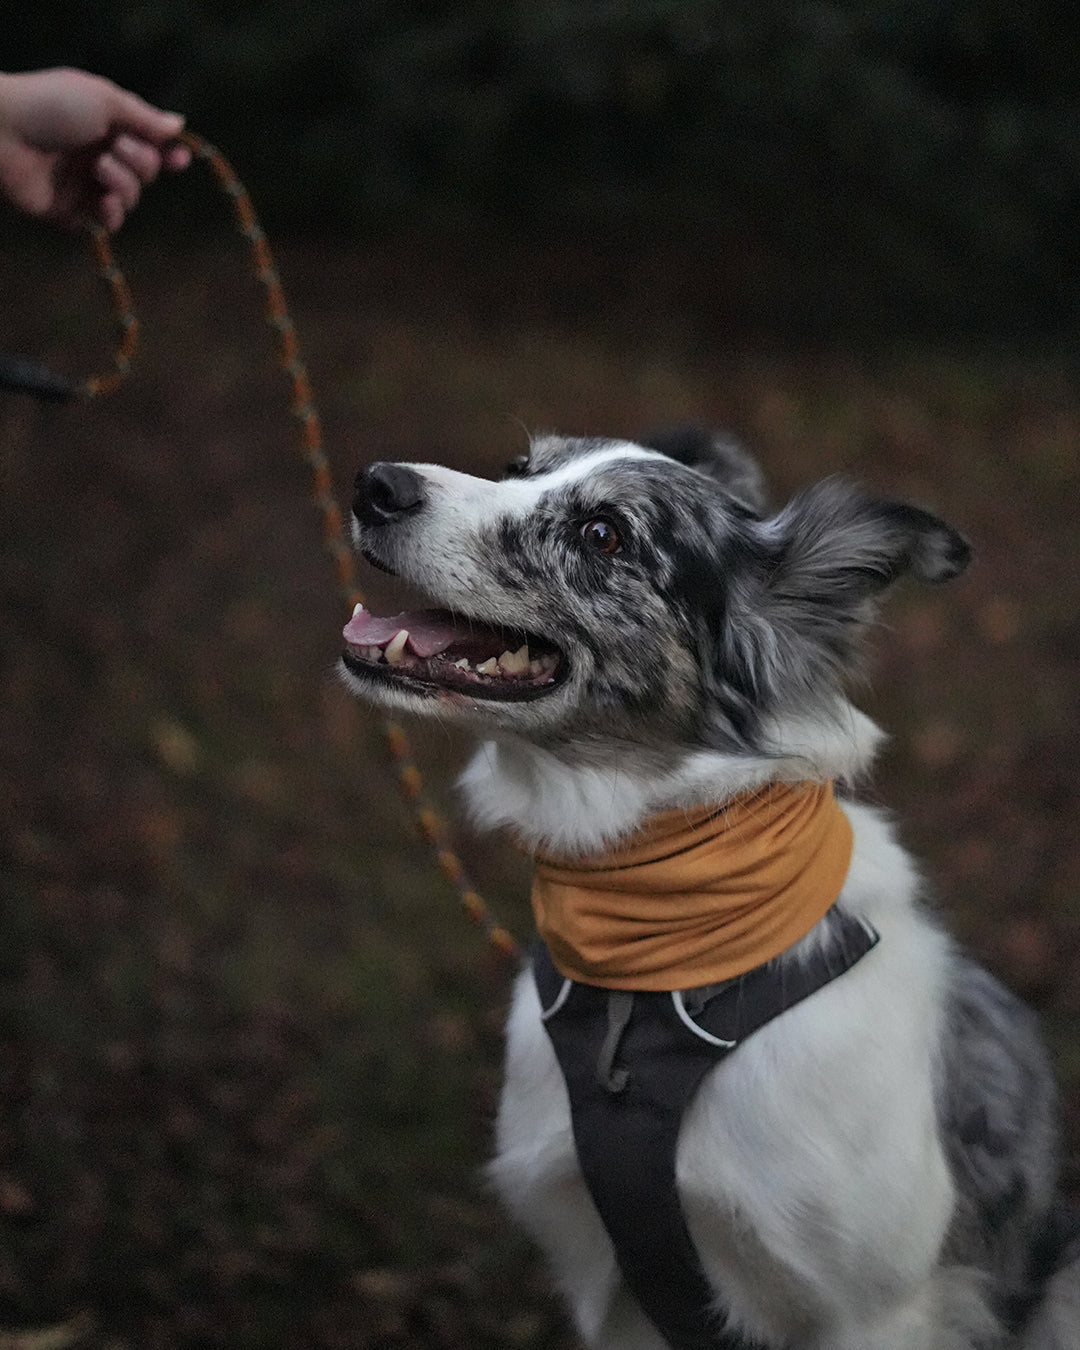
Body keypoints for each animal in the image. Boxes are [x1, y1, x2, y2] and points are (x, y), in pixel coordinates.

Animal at [340, 432, 1080, 1350]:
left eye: (603, 536)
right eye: (519, 468)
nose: (374, 485)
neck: (652, 978)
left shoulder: (873, 1309)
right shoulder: (613, 1287)